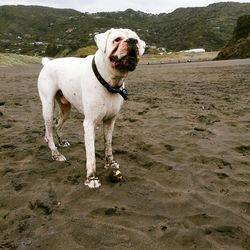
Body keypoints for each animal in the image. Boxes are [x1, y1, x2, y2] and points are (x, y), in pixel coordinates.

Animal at [38, 28, 146, 188]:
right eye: (117, 39)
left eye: (137, 40)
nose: (132, 41)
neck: (110, 81)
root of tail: (48, 63)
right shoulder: (89, 124)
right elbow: (91, 155)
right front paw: (92, 178)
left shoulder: (110, 121)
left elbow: (108, 145)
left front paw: (110, 163)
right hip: (48, 106)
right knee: (49, 128)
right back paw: (55, 153)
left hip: (66, 109)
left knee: (56, 125)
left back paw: (61, 142)